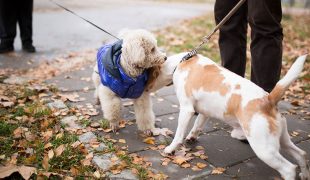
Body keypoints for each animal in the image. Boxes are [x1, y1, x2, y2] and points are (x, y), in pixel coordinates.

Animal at [154, 53, 308, 180]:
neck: (182, 61)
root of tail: (268, 99)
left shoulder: (186, 109)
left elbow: (179, 134)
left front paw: (171, 149)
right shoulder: (204, 112)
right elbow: (197, 125)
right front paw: (192, 137)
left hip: (264, 150)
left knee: (289, 169)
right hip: (282, 141)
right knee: (301, 154)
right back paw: (305, 175)